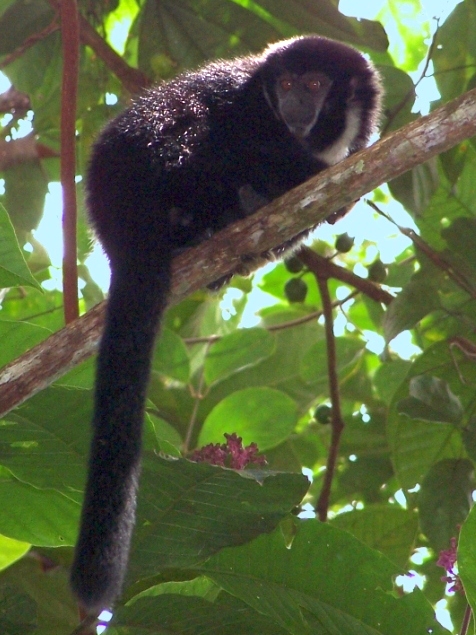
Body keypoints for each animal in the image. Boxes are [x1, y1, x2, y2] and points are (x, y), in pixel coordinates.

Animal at [70, 33, 384, 612]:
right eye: (288, 83)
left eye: (314, 84)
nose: (294, 102)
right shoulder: (249, 103)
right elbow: (239, 133)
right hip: (155, 166)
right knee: (198, 130)